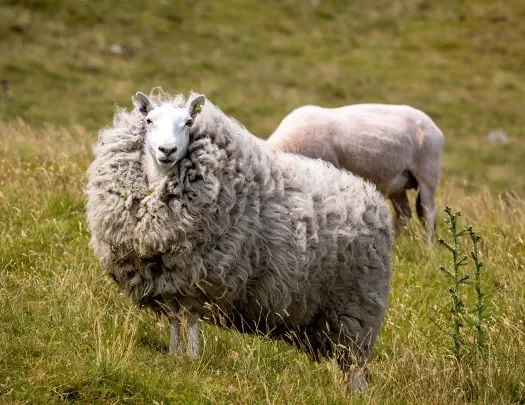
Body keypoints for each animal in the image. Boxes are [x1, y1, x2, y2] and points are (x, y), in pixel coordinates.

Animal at [84, 91, 390, 392]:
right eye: (149, 120)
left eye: (188, 122)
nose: (167, 151)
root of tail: (373, 197)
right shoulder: (169, 279)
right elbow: (174, 319)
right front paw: (173, 355)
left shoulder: (198, 278)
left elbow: (190, 319)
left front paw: (192, 359)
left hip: (357, 310)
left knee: (357, 366)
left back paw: (357, 396)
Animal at [268, 104, 444, 243]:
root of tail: (433, 126)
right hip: (398, 182)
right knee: (404, 214)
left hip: (427, 173)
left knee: (429, 213)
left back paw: (428, 246)